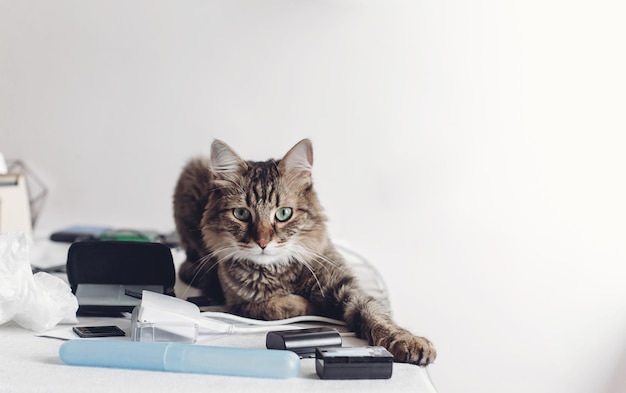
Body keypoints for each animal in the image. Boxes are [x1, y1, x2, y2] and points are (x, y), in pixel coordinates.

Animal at [171, 139, 434, 364]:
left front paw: (409, 341)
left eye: (283, 214)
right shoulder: (241, 303)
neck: (279, 269)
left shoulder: (346, 287)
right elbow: (280, 306)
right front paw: (310, 305)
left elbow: (376, 314)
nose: (263, 242)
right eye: (242, 214)